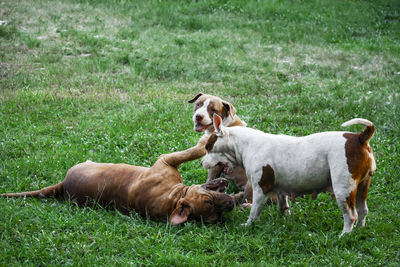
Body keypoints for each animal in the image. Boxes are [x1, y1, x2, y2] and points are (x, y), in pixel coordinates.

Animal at [0, 136, 234, 226]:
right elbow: (196, 151)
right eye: (209, 202)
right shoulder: (166, 160)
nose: (231, 203)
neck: (174, 198)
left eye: (215, 217)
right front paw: (207, 139)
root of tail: (61, 187)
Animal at [202, 114, 376, 236]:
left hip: (343, 190)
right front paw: (284, 219)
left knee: (351, 215)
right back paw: (359, 230)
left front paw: (249, 225)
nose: (201, 162)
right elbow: (283, 205)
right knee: (362, 210)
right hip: (361, 187)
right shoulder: (280, 189)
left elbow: (254, 210)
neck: (245, 144)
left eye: (209, 147)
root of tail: (359, 138)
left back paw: (344, 235)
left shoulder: (260, 189)